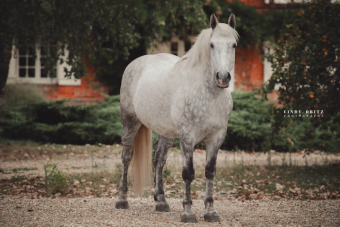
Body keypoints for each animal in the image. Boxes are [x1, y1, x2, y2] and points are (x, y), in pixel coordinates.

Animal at [115, 13, 238, 223]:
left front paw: (210, 211)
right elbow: (188, 173)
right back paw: (122, 200)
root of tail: (136, 63)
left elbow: (210, 171)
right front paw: (188, 212)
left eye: (234, 45)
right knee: (126, 157)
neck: (208, 94)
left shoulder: (217, 137)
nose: (223, 77)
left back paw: (161, 202)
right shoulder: (187, 137)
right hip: (130, 123)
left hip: (166, 133)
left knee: (159, 160)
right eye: (212, 45)